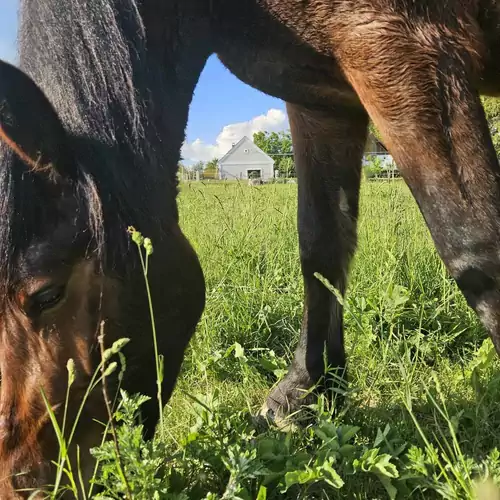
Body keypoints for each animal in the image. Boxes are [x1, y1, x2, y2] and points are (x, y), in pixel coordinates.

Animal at [0, 0, 500, 494]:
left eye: (48, 294)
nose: (20, 485)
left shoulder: (405, 49)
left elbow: (472, 243)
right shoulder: (319, 99)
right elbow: (320, 248)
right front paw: (302, 393)